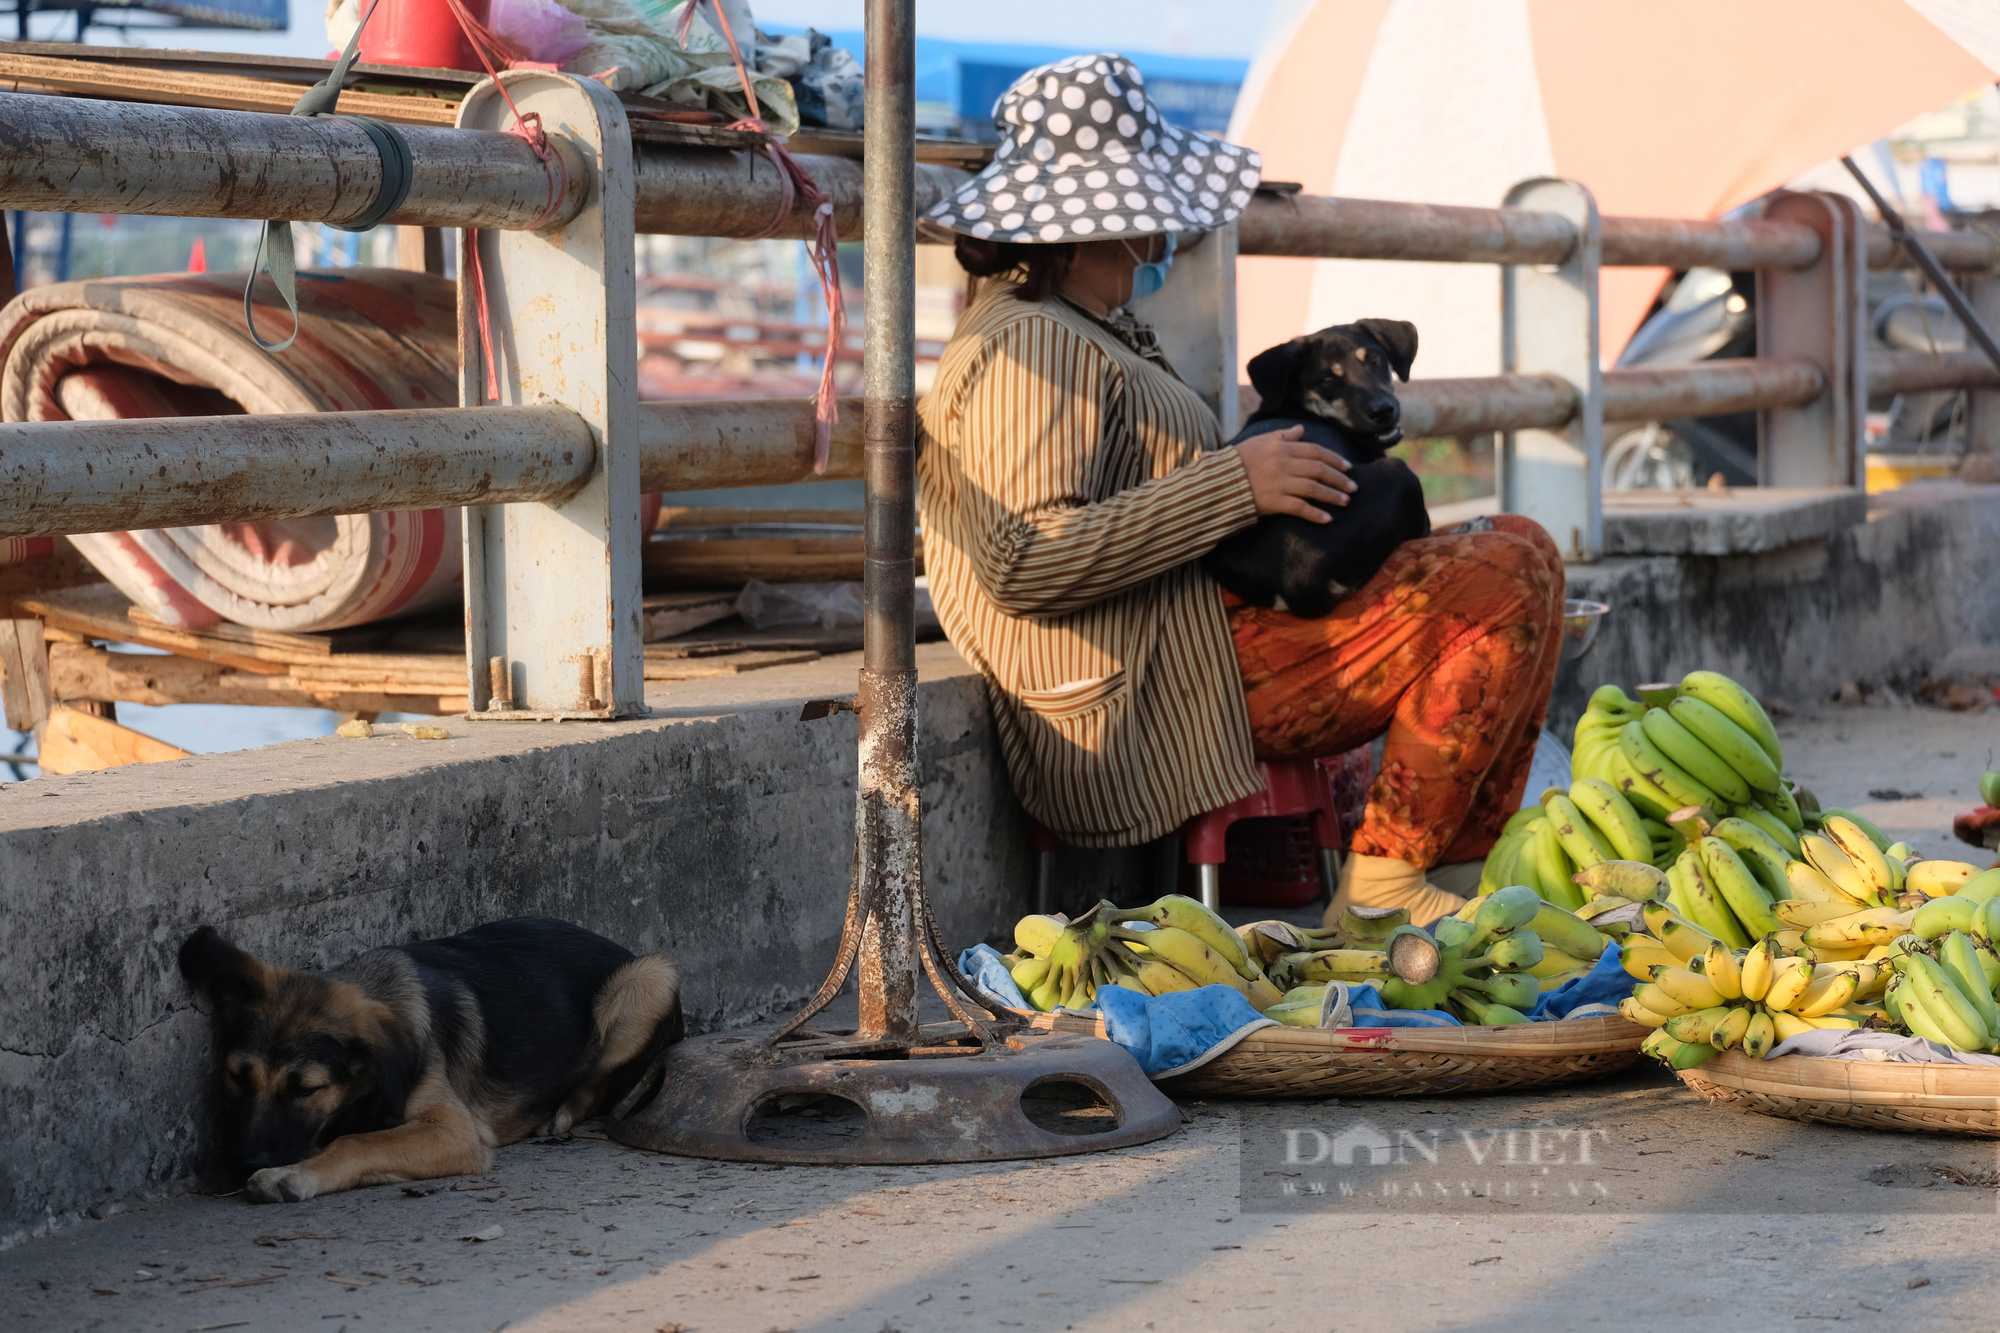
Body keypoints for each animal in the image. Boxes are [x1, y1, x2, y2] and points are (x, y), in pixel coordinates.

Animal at [180, 920, 680, 1200]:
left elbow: (356, 1143)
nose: (243, 1162)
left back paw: (559, 1113)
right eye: (236, 1077)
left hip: (651, 977)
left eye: (306, 1089)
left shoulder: (453, 1131)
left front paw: (294, 1173)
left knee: (594, 1087)